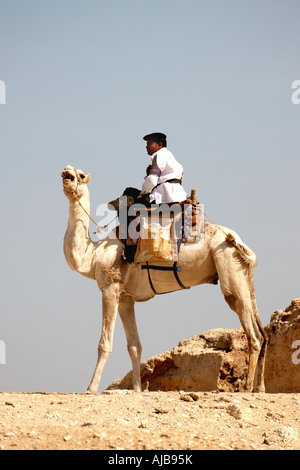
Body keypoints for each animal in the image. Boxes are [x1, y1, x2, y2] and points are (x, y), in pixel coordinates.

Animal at [61, 165, 268, 392]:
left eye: (80, 175)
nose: (67, 171)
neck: (94, 255)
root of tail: (237, 240)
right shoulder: (125, 298)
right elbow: (135, 346)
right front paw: (137, 389)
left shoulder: (110, 287)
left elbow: (104, 344)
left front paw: (90, 389)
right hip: (242, 269)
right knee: (262, 331)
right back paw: (260, 388)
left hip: (227, 263)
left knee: (251, 330)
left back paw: (246, 388)